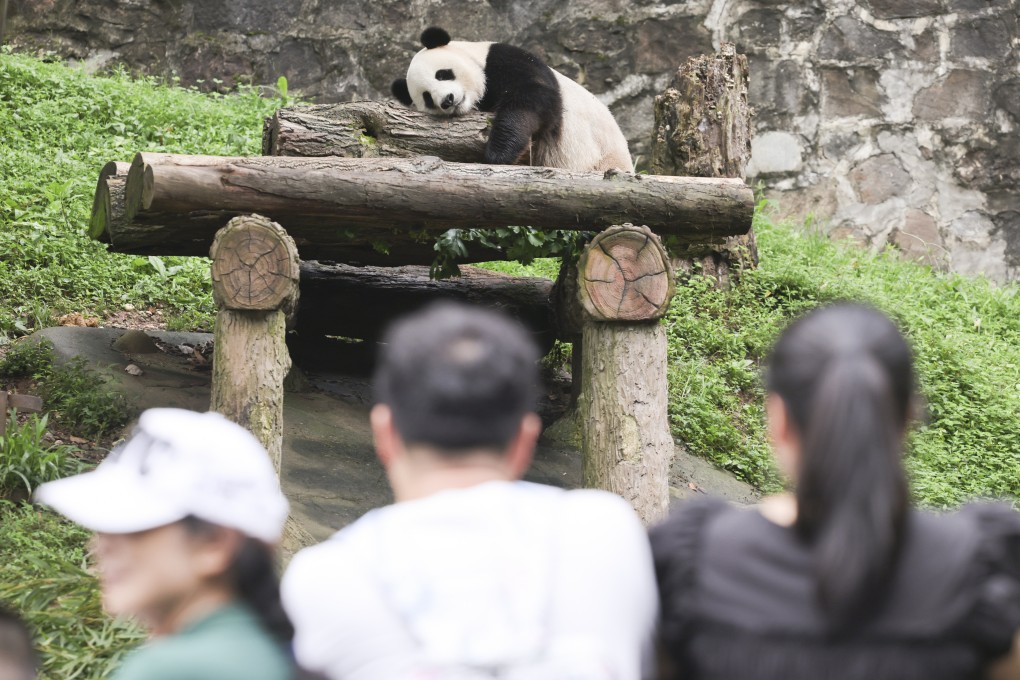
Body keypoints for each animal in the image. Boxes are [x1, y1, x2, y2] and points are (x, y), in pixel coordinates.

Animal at [391, 27, 633, 174]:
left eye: (442, 74)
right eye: (427, 97)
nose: (448, 100)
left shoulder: (504, 59)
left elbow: (532, 98)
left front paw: (499, 152)